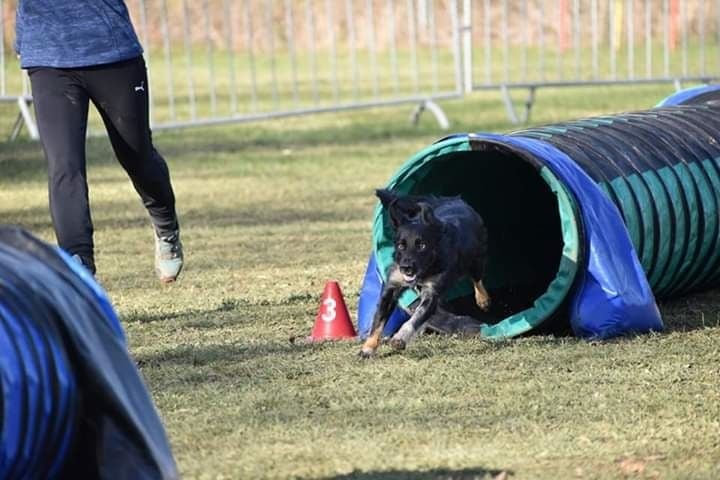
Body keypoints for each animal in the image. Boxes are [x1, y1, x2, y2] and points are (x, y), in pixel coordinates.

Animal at [358, 189, 490, 358]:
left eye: (421, 245)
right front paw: (367, 348)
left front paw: (400, 338)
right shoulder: (392, 287)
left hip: (476, 261)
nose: (406, 267)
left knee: (477, 279)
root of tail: (455, 200)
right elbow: (378, 321)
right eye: (401, 245)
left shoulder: (431, 293)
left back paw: (483, 300)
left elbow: (416, 317)